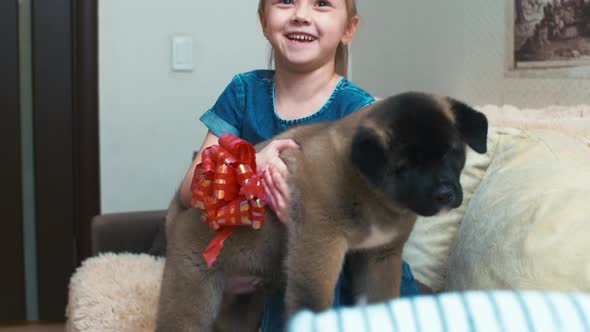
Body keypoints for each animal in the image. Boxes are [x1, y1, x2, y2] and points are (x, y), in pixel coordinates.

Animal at [156, 92, 490, 330]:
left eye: (452, 153)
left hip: (242, 305)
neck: (371, 193)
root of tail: (180, 217)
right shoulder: (318, 251)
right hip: (192, 297)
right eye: (405, 166)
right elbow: (313, 307)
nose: (445, 194)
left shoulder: (381, 256)